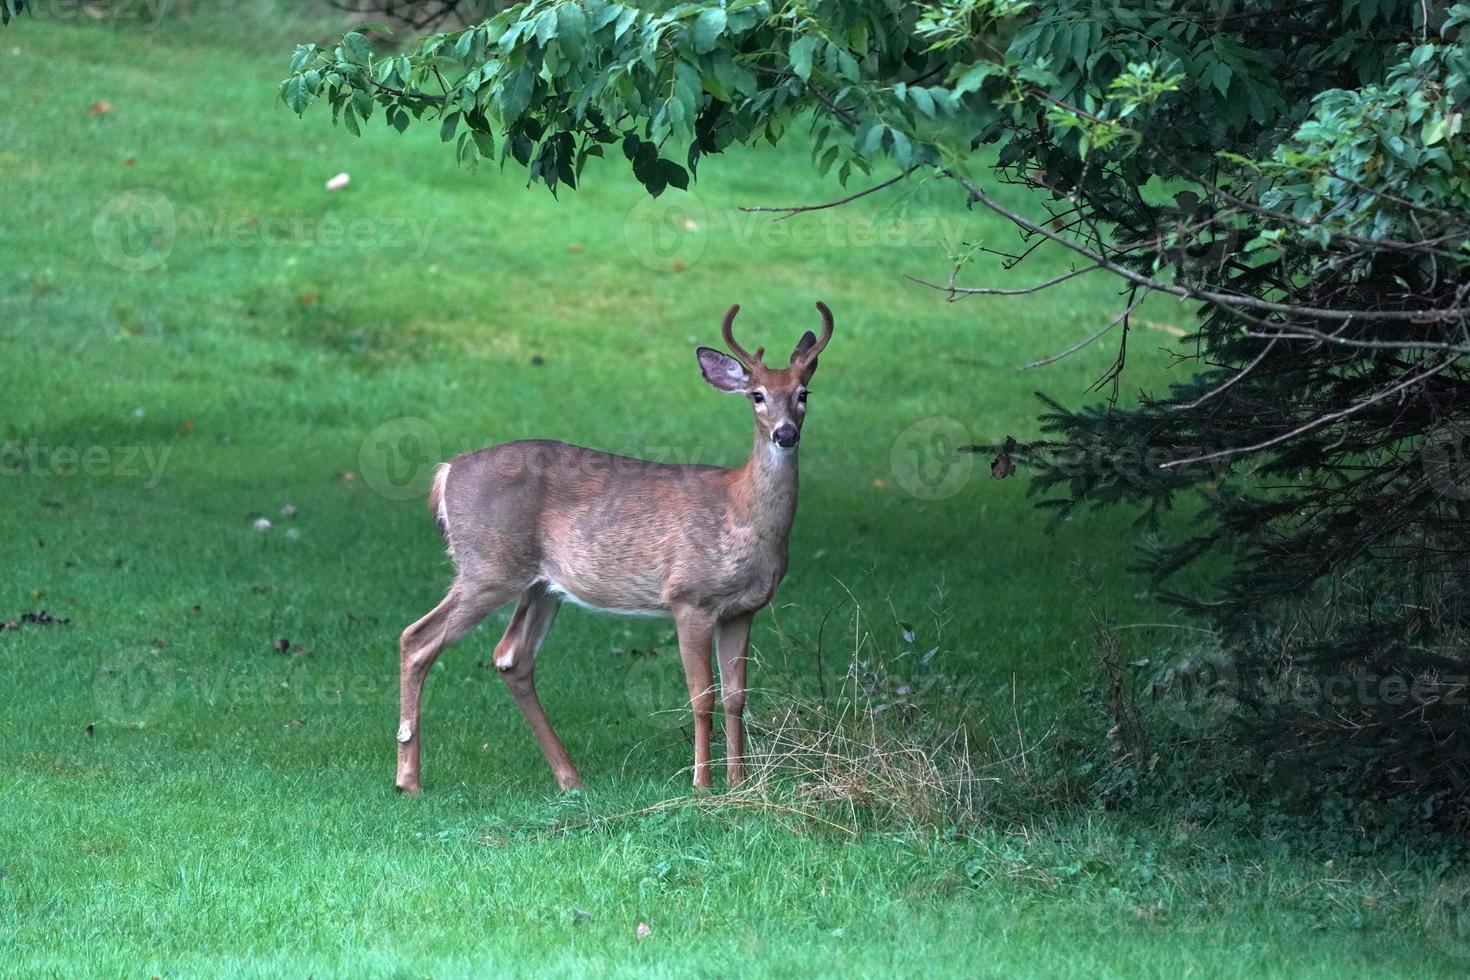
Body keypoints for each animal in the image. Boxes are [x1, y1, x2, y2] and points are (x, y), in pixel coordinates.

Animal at [396, 302, 834, 793]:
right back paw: (408, 780)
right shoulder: (689, 597)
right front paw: (702, 784)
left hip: (539, 584)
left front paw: (738, 782)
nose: (785, 433)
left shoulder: (742, 609)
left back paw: (570, 778)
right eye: (757, 395)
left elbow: (737, 696)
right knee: (417, 638)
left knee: (510, 657)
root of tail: (445, 473)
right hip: (488, 566)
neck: (740, 512)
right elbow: (701, 696)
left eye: (803, 393)